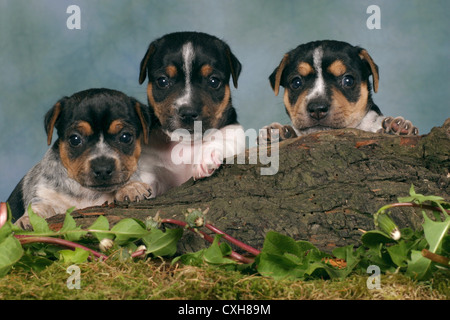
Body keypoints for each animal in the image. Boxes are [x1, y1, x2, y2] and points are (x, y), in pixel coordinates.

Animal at [7, 88, 151, 228]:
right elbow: (39, 208)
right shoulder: (44, 196)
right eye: (75, 139)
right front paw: (28, 220)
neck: (87, 194)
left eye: (125, 137)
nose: (103, 169)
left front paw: (131, 186)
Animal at [138, 31, 246, 195]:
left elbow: (222, 140)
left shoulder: (235, 133)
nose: (188, 113)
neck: (186, 144)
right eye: (162, 81)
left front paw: (206, 156)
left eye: (214, 81)